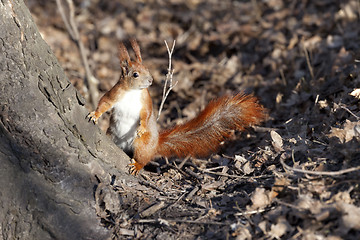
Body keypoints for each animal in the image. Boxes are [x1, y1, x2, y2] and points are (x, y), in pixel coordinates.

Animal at [87, 39, 268, 174]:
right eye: (135, 74)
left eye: (147, 68)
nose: (151, 80)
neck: (133, 92)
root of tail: (156, 143)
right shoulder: (115, 94)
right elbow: (104, 103)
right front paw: (95, 115)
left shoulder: (146, 101)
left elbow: (146, 114)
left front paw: (142, 127)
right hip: (112, 135)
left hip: (142, 145)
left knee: (143, 158)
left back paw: (137, 164)